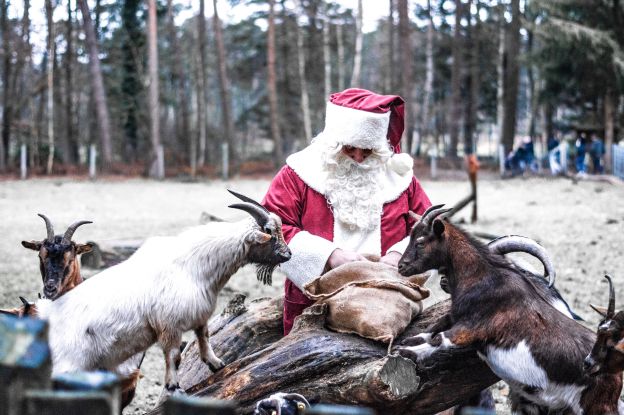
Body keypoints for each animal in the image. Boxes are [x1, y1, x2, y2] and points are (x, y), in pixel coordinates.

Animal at [36, 192, 292, 394]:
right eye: (269, 232)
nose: (288, 255)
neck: (193, 264)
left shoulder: (199, 314)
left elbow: (204, 336)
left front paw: (215, 363)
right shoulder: (169, 325)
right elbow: (174, 356)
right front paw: (173, 386)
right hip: (70, 365)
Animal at [398, 206, 620, 415]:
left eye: (420, 242)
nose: (401, 266)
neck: (483, 278)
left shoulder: (474, 327)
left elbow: (441, 338)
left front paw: (405, 351)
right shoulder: (456, 316)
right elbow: (433, 329)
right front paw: (407, 343)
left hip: (594, 405)